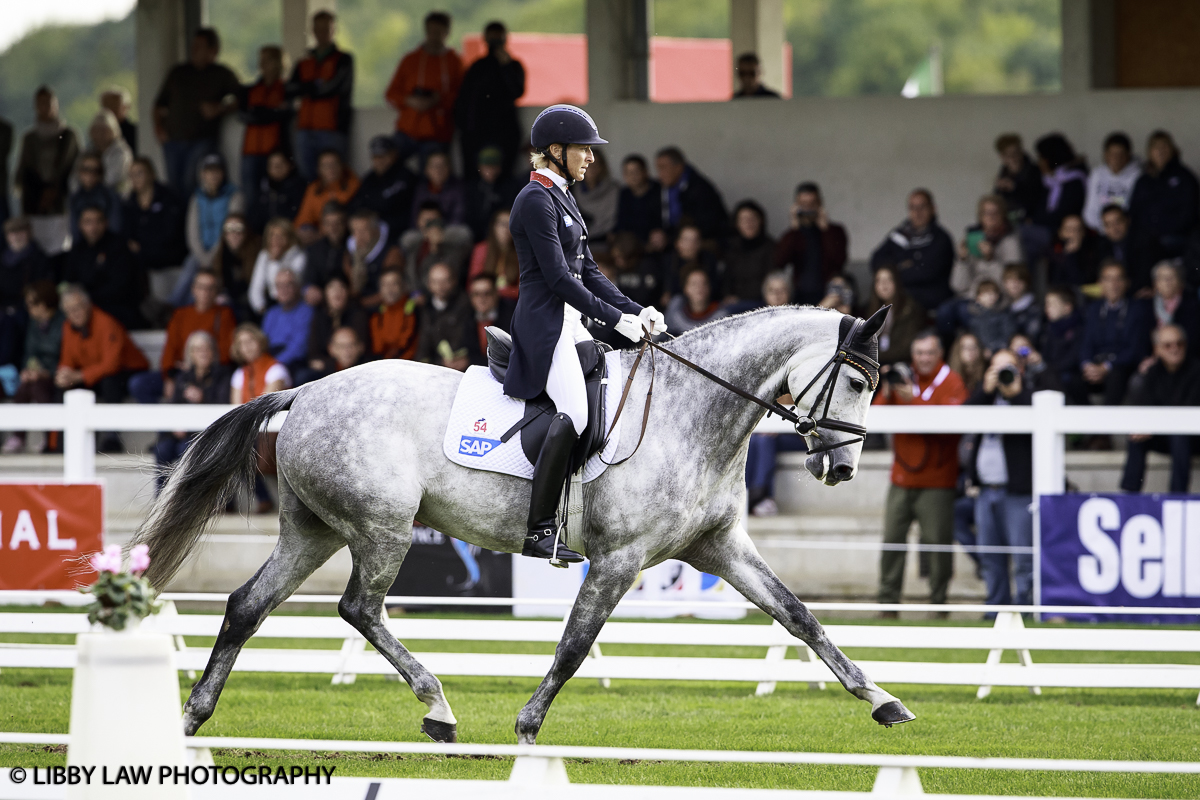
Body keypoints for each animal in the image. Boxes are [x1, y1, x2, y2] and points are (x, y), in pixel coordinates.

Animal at [133, 304, 916, 743]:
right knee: (359, 608)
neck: (692, 412)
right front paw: (529, 725)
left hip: (313, 531)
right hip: (382, 530)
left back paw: (193, 716)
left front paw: (883, 701)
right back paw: (439, 708)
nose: (842, 471)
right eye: (856, 381)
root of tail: (307, 391)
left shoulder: (720, 546)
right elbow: (574, 645)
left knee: (247, 605)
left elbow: (800, 617)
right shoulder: (620, 558)